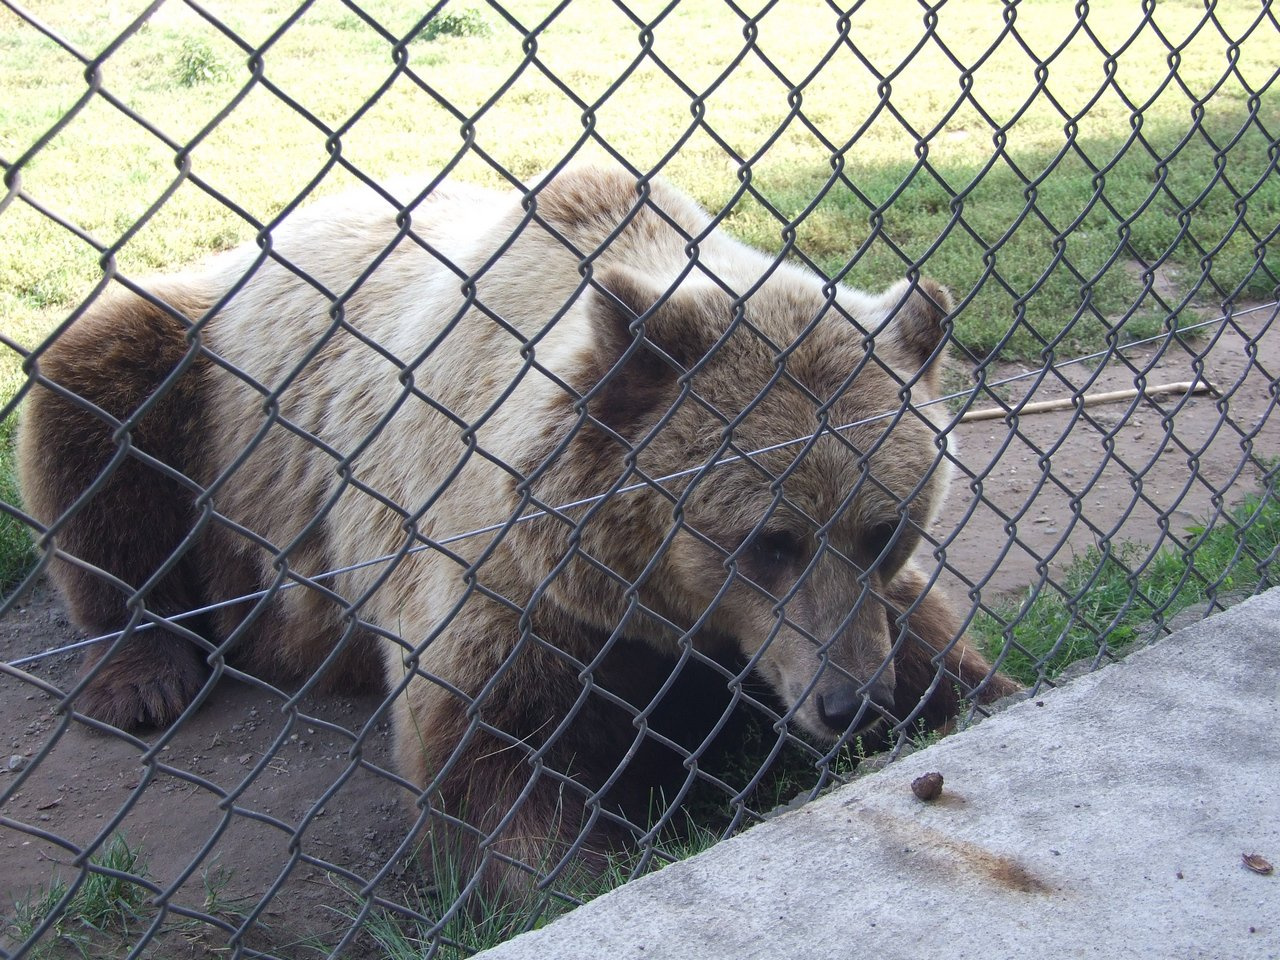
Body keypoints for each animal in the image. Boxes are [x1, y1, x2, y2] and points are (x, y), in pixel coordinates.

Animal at [17, 167, 1018, 901]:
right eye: (769, 541)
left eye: (885, 528)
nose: (851, 704)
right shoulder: (496, 575)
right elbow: (492, 762)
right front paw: (580, 867)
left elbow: (928, 638)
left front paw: (973, 694)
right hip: (211, 378)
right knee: (97, 400)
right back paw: (143, 673)